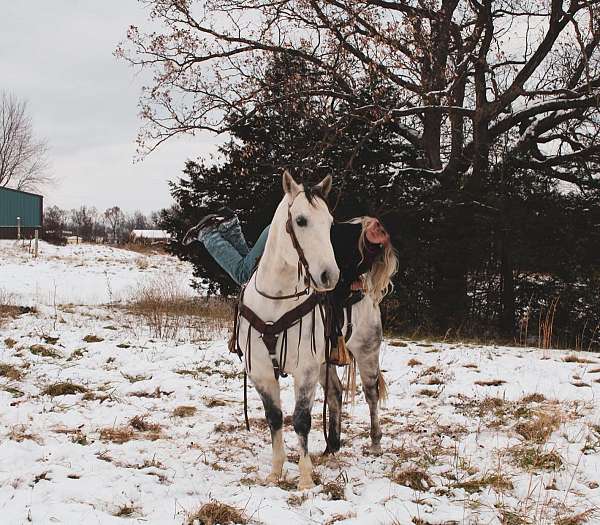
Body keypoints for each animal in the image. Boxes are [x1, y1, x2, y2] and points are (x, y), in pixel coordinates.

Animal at [234, 170, 338, 490]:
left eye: (330, 222)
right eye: (301, 220)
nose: (330, 276)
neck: (276, 300)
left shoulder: (306, 369)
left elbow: (301, 420)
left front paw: (305, 478)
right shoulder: (261, 372)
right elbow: (275, 417)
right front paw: (275, 471)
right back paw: (332, 445)